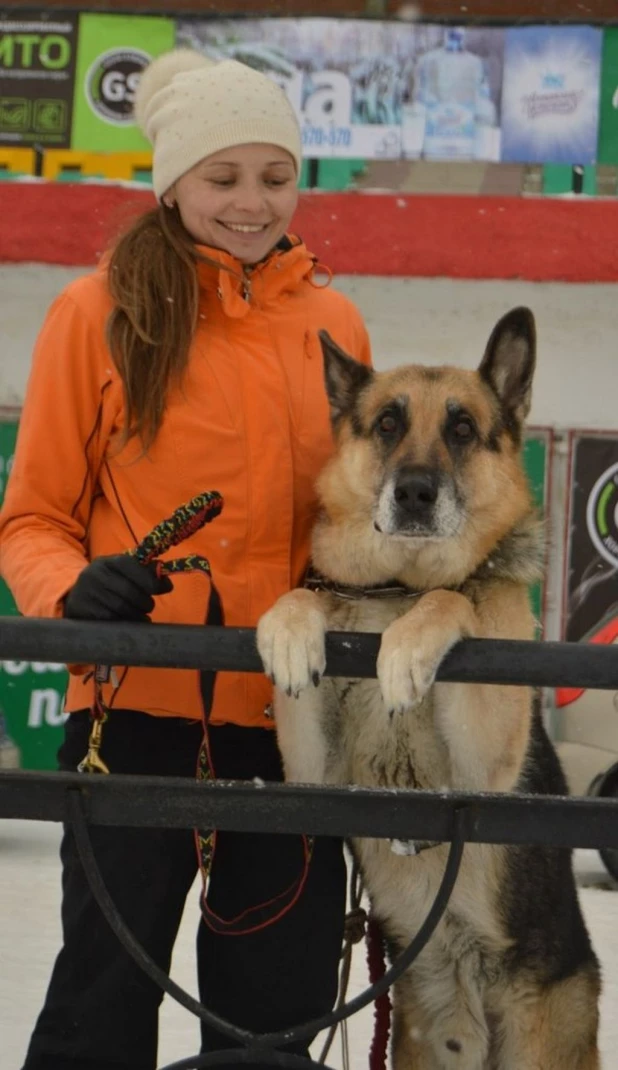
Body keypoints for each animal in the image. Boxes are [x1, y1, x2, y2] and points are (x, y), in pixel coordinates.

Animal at [254, 306, 598, 1065]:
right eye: (388, 422)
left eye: (462, 429)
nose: (414, 492)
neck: (397, 588)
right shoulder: (312, 778)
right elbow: (309, 596)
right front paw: (291, 631)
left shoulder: (486, 766)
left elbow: (456, 599)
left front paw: (410, 647)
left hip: (539, 1034)